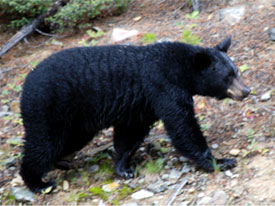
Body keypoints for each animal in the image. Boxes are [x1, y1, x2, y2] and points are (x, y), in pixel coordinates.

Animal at [20, 38, 251, 193]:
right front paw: (220, 161)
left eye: (236, 70)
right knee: (43, 143)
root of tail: (26, 83)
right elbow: (183, 127)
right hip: (48, 108)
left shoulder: (142, 105)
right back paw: (38, 183)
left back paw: (61, 162)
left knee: (68, 141)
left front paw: (123, 168)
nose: (246, 90)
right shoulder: (164, 87)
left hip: (77, 121)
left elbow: (130, 134)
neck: (181, 70)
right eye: (227, 76)